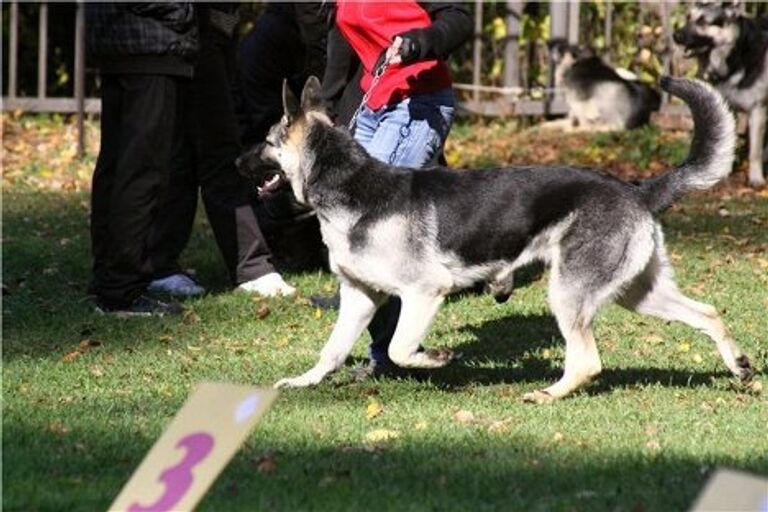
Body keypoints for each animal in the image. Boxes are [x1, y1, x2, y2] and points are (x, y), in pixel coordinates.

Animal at [237, 76, 752, 404]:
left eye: (267, 142)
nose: (237, 163)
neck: (348, 185)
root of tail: (637, 189)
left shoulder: (424, 292)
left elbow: (402, 347)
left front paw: (436, 357)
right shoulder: (360, 297)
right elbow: (332, 350)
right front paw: (305, 383)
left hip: (569, 294)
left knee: (587, 361)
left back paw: (548, 394)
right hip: (638, 294)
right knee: (708, 313)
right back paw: (741, 367)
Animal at [672, 0, 768, 186]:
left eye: (703, 21)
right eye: (688, 17)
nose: (676, 36)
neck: (736, 55)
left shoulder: (758, 110)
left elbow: (755, 152)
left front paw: (755, 178)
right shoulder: (729, 109)